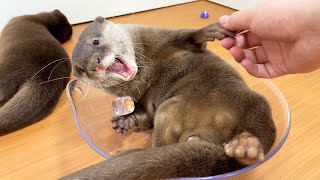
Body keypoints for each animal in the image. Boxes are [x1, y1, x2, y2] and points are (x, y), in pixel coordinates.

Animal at [62, 16, 276, 179]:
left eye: (95, 41)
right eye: (81, 69)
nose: (93, 65)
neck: (146, 72)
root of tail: (216, 140)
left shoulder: (158, 38)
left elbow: (186, 37)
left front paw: (211, 31)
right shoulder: (138, 98)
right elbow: (144, 116)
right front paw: (124, 121)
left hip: (254, 105)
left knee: (262, 134)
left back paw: (247, 147)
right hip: (167, 110)